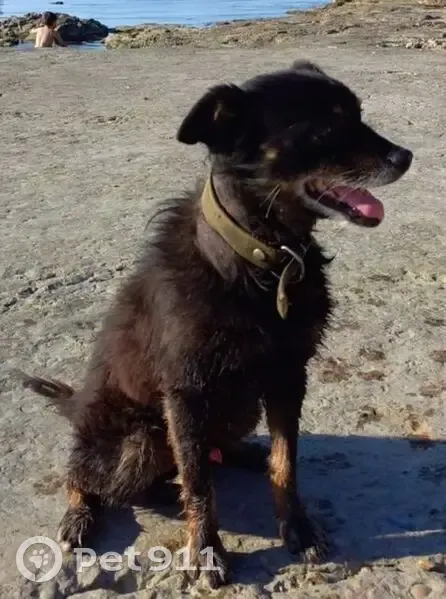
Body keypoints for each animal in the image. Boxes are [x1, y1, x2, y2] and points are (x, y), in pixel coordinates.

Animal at [22, 60, 412, 588]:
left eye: (357, 114)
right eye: (325, 128)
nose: (406, 156)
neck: (262, 260)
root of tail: (77, 405)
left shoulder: (289, 375)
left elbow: (285, 463)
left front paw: (297, 527)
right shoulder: (187, 394)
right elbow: (199, 487)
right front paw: (206, 551)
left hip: (235, 411)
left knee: (214, 454)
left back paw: (242, 455)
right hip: (135, 443)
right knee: (88, 476)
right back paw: (79, 514)